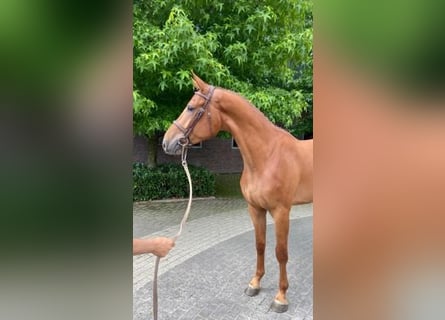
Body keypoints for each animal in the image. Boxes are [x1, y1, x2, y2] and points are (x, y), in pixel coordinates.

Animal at [160, 73, 312, 312]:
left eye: (191, 108)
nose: (167, 142)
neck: (267, 156)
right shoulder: (255, 208)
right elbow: (260, 245)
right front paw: (255, 283)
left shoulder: (281, 212)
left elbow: (281, 252)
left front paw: (281, 297)